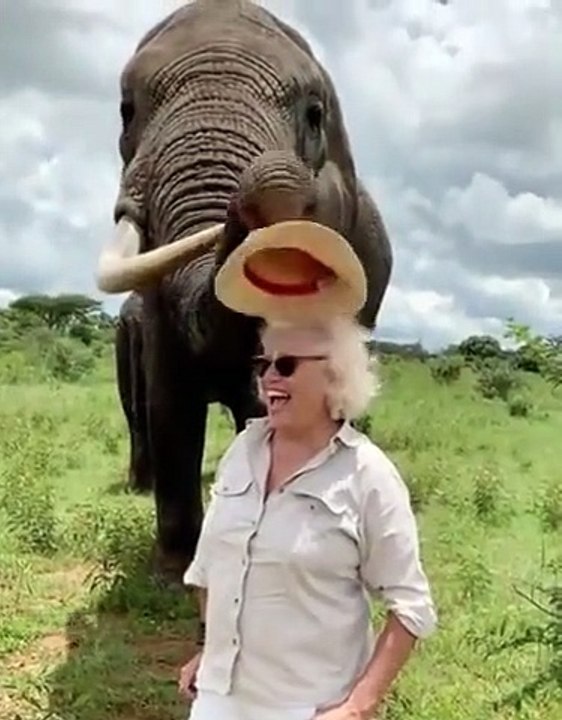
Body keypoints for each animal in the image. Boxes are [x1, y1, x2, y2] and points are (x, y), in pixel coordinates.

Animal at [95, 0, 393, 586]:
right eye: (125, 110)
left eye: (314, 114)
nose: (263, 186)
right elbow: (170, 404)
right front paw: (173, 572)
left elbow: (262, 397)